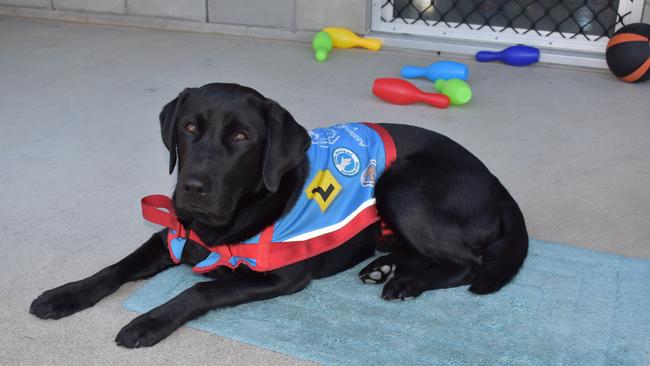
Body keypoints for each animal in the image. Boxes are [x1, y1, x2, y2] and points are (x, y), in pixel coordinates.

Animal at [30, 83, 528, 348]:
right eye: (190, 127)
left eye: (242, 137)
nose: (192, 187)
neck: (226, 220)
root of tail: (497, 183)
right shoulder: (169, 236)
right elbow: (113, 269)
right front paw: (64, 295)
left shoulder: (281, 275)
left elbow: (200, 289)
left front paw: (149, 321)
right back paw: (385, 267)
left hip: (402, 186)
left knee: (467, 263)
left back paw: (406, 282)